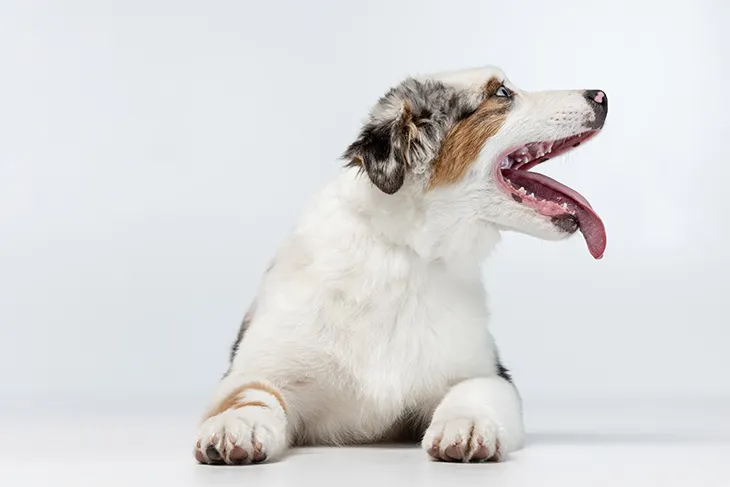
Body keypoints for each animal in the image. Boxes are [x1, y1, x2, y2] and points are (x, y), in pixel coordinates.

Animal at [191, 65, 604, 466]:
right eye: (501, 92)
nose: (602, 96)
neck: (407, 254)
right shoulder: (257, 367)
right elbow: (250, 395)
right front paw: (235, 426)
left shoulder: (487, 372)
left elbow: (474, 391)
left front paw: (467, 426)